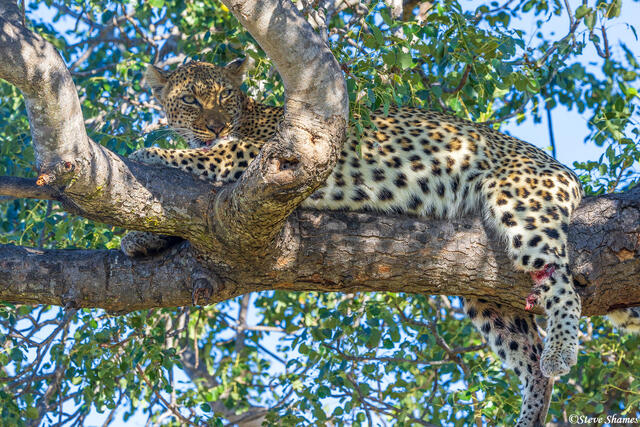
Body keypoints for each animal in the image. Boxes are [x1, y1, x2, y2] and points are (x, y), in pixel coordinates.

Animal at [122, 58, 640, 426]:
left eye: (224, 96)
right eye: (191, 100)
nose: (213, 126)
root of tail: (563, 170)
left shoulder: (258, 157)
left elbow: (194, 157)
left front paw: (142, 154)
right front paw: (141, 238)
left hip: (521, 204)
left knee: (563, 285)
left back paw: (561, 352)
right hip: (483, 288)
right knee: (527, 354)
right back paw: (531, 408)